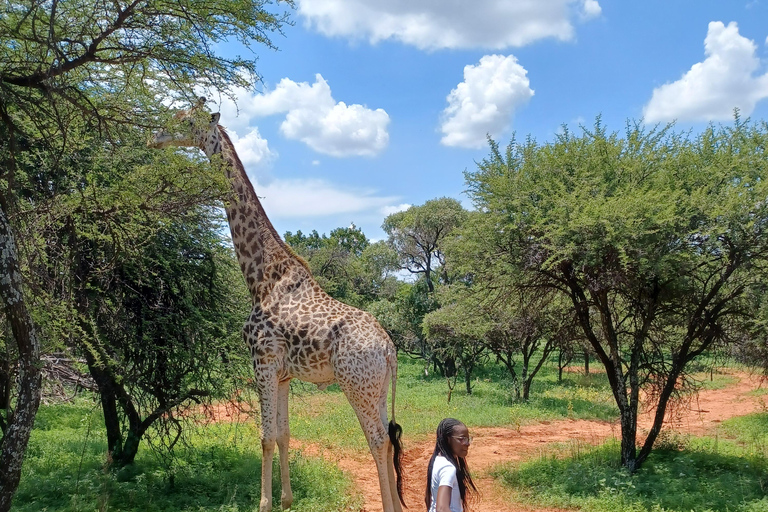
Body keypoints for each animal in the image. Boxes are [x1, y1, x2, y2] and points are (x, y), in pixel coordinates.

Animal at [146, 100, 404, 512]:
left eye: (185, 120)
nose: (154, 137)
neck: (260, 278)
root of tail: (390, 349)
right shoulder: (282, 373)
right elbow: (283, 435)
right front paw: (286, 498)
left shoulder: (262, 360)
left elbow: (265, 437)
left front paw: (263, 503)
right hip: (377, 389)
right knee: (390, 440)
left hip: (356, 385)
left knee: (378, 441)